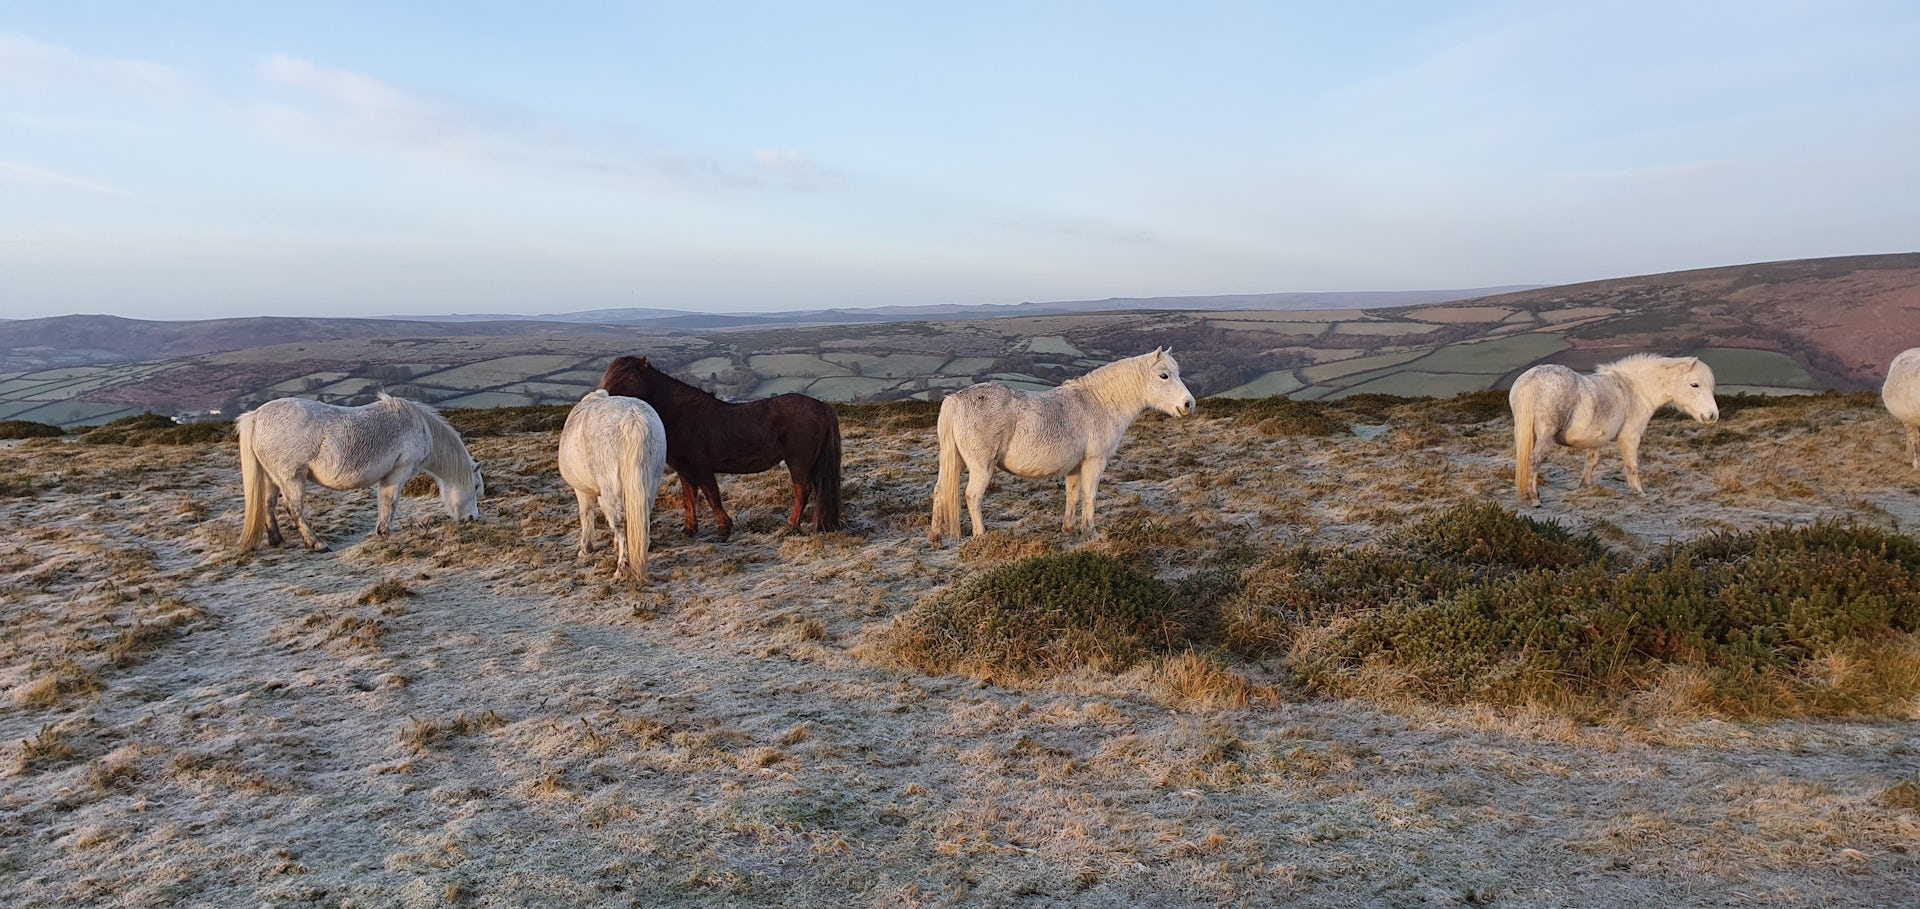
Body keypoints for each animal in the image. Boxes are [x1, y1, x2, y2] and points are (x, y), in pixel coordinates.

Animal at [237, 393, 482, 551]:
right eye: (476, 486)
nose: (473, 519)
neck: (419, 426)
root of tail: (256, 416)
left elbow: (385, 501)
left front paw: (382, 531)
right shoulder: (399, 470)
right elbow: (390, 501)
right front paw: (386, 532)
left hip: (272, 478)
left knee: (268, 505)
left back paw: (277, 540)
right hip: (292, 478)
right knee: (293, 508)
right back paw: (317, 544)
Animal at [557, 390, 668, 582]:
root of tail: (633, 417)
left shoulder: (582, 491)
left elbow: (586, 515)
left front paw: (585, 548)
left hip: (612, 488)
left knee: (620, 522)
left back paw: (621, 569)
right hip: (649, 484)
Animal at [597, 356, 842, 539]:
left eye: (630, 377)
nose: (602, 401)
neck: (681, 416)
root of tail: (821, 406)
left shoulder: (702, 467)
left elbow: (711, 495)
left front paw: (724, 527)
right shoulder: (685, 471)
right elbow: (689, 498)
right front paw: (689, 529)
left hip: (798, 462)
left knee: (803, 490)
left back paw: (792, 525)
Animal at [928, 347, 1196, 546]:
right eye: (1164, 375)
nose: (1188, 404)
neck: (1099, 402)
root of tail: (954, 400)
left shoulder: (1075, 467)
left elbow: (1073, 496)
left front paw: (1068, 529)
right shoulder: (1094, 462)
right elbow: (1090, 496)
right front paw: (1091, 532)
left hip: (956, 463)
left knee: (940, 491)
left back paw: (935, 538)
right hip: (981, 467)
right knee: (973, 496)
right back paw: (982, 536)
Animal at [1508, 353, 1718, 507]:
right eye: (1695, 384)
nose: (1712, 415)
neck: (1634, 389)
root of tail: (1532, 378)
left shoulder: (1595, 440)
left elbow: (1591, 463)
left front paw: (1584, 487)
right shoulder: (1630, 437)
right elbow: (1631, 466)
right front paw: (1639, 493)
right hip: (1545, 437)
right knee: (1534, 460)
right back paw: (1534, 498)